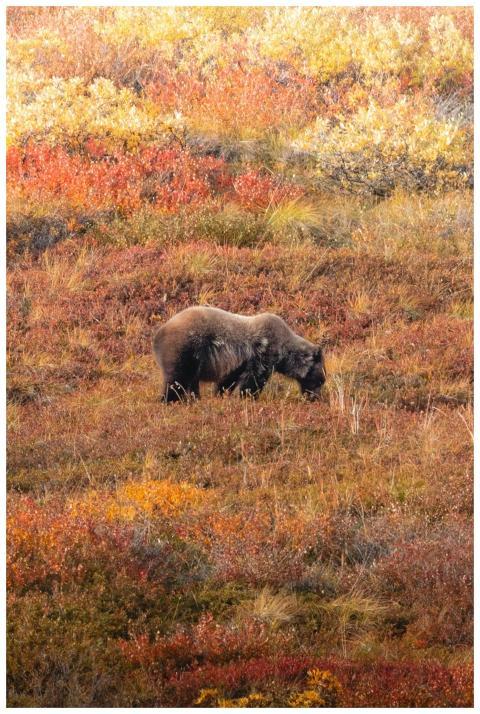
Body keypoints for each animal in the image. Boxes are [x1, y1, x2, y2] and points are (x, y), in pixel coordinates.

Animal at [153, 306, 326, 403]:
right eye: (320, 380)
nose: (315, 399)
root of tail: (158, 334)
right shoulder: (263, 351)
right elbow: (254, 379)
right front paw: (248, 398)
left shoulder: (240, 361)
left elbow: (228, 380)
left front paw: (221, 395)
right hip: (186, 347)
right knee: (177, 379)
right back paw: (169, 400)